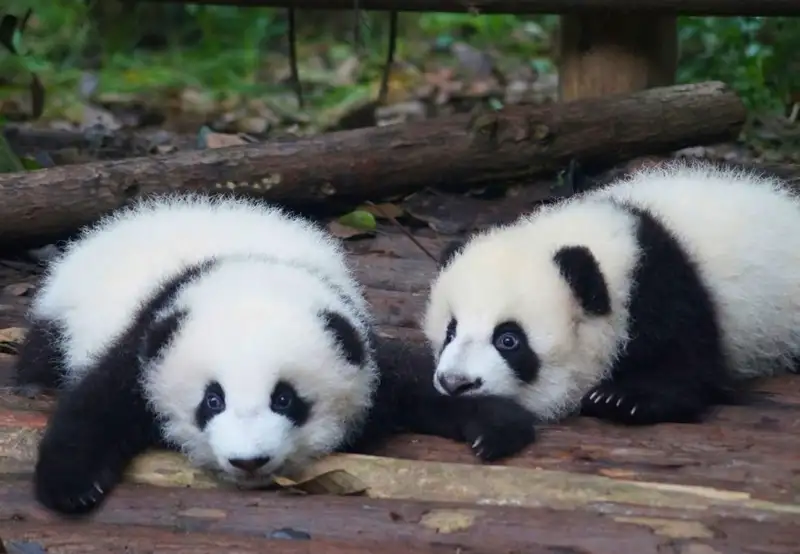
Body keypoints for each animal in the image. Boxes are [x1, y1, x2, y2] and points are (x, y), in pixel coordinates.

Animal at [14, 193, 537, 517]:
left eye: (285, 399)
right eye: (213, 401)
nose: (249, 461)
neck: (248, 268)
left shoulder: (356, 340)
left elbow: (415, 381)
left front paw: (494, 425)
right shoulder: (148, 338)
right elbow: (97, 404)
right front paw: (72, 486)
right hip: (62, 312)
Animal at [422, 161, 800, 428]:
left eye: (508, 340)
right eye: (450, 331)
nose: (455, 383)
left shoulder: (664, 287)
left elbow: (689, 365)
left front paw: (622, 399)